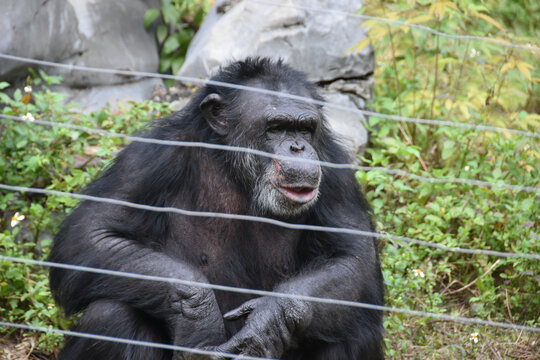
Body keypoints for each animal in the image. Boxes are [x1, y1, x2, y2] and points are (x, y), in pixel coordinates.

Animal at [47, 57, 384, 358]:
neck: (238, 171)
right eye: (275, 127)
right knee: (111, 316)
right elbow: (91, 234)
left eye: (305, 128)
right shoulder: (150, 157)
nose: (298, 148)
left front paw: (268, 321)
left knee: (353, 332)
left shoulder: (335, 168)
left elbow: (351, 259)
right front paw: (198, 318)